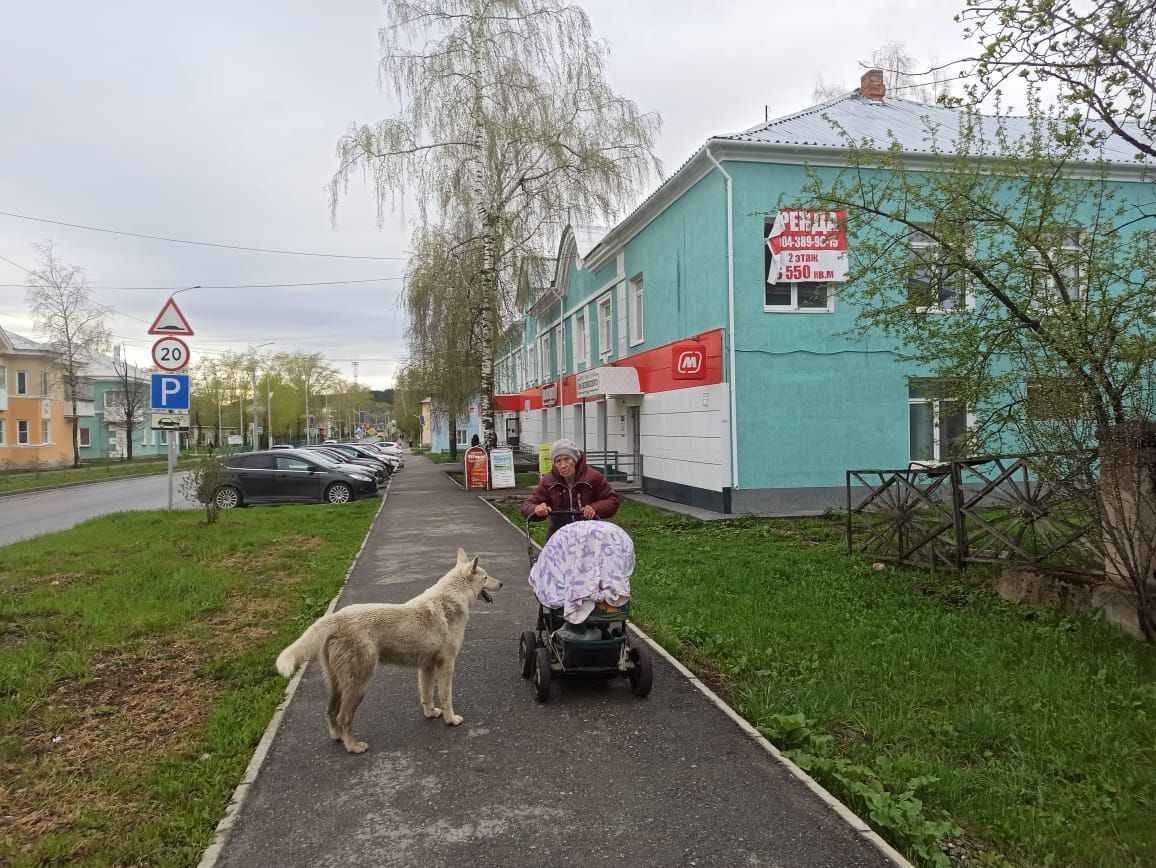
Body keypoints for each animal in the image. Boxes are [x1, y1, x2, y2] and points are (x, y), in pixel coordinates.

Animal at [277, 550, 504, 753]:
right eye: (486, 577)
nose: (502, 583)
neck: (451, 599)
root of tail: (335, 618)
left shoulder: (427, 667)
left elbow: (427, 694)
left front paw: (431, 713)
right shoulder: (446, 664)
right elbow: (446, 697)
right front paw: (451, 720)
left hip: (338, 684)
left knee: (331, 712)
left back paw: (339, 738)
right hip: (359, 683)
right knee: (343, 717)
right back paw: (353, 747)